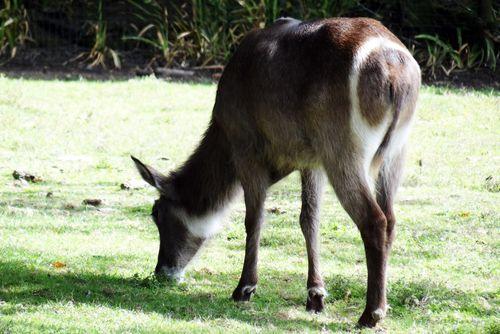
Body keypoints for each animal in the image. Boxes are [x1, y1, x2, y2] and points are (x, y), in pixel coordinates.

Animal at [131, 17, 420, 328]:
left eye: (156, 213)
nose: (162, 271)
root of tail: (395, 70)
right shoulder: (311, 161)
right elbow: (309, 220)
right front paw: (315, 296)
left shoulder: (246, 150)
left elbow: (254, 219)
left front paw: (244, 288)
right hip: (394, 155)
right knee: (390, 219)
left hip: (344, 154)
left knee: (374, 220)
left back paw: (371, 313)